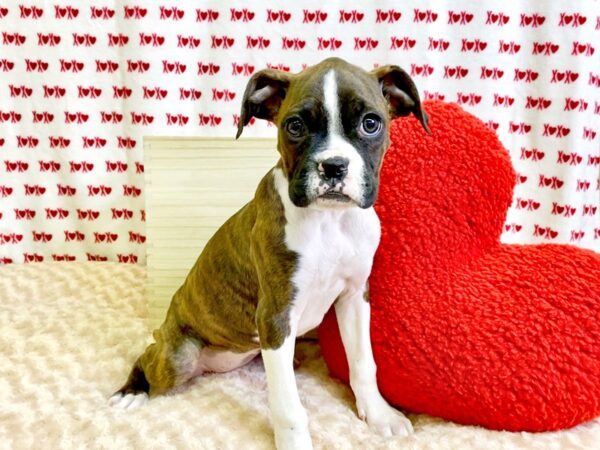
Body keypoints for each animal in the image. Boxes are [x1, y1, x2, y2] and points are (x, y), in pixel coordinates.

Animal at [110, 58, 428, 448]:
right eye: (295, 126)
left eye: (371, 123)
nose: (333, 166)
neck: (329, 219)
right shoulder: (276, 314)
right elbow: (288, 405)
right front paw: (295, 442)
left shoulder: (355, 297)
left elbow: (363, 363)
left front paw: (379, 414)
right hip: (178, 356)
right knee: (148, 357)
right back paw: (132, 391)